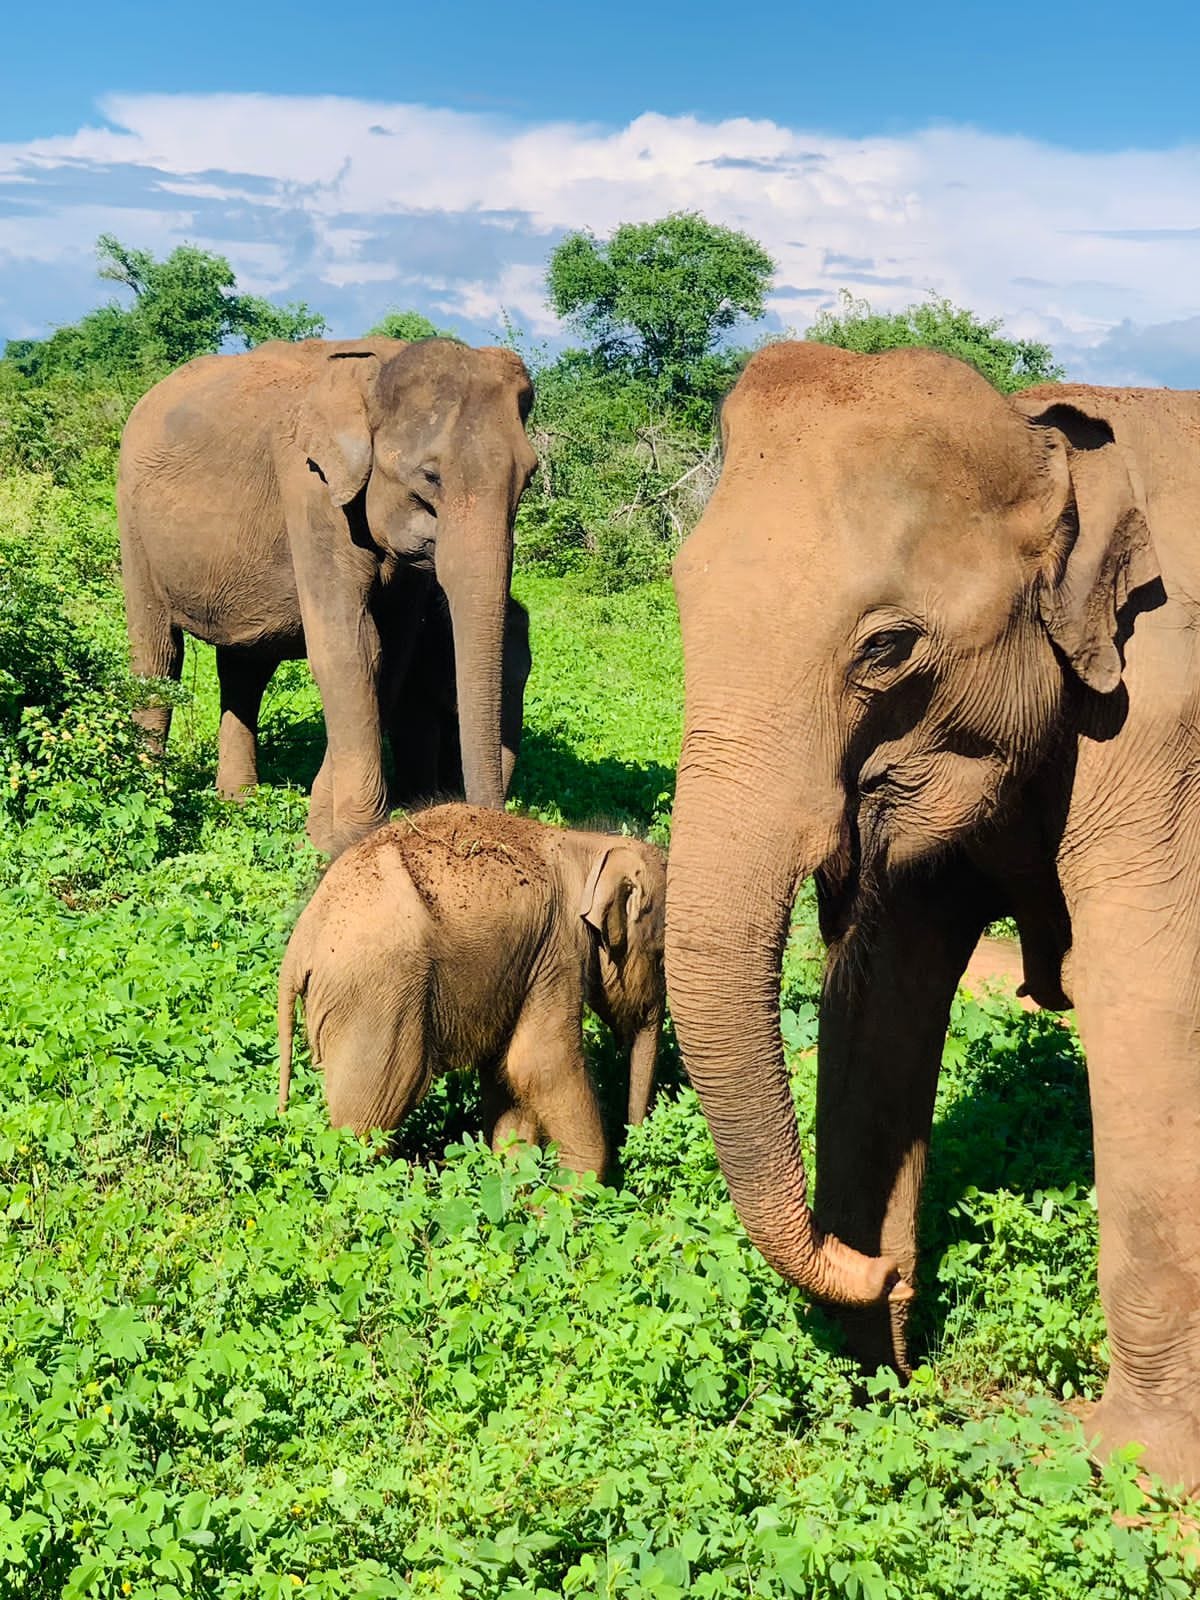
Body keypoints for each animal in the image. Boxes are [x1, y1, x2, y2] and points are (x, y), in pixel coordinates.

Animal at [117, 336, 536, 856]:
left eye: (529, 477)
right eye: (430, 477)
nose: (483, 832)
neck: (377, 369)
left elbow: (390, 655)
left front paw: (321, 835)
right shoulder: (308, 487)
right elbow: (352, 648)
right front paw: (352, 840)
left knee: (244, 671)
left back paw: (238, 802)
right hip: (133, 526)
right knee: (158, 654)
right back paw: (150, 795)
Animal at [277, 803, 666, 1178]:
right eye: (661, 956)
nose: (634, 1144)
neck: (590, 847)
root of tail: (300, 943)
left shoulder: (522, 962)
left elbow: (505, 1072)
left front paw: (518, 1182)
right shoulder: (559, 948)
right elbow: (538, 1063)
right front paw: (571, 1193)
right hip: (377, 1000)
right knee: (373, 1112)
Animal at [665, 340, 1200, 1490]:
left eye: (887, 648)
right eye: (680, 594)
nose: (879, 1269)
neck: (1055, 444)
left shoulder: (1162, 732)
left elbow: (1146, 1004)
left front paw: (1132, 1467)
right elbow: (884, 991)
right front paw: (871, 1380)